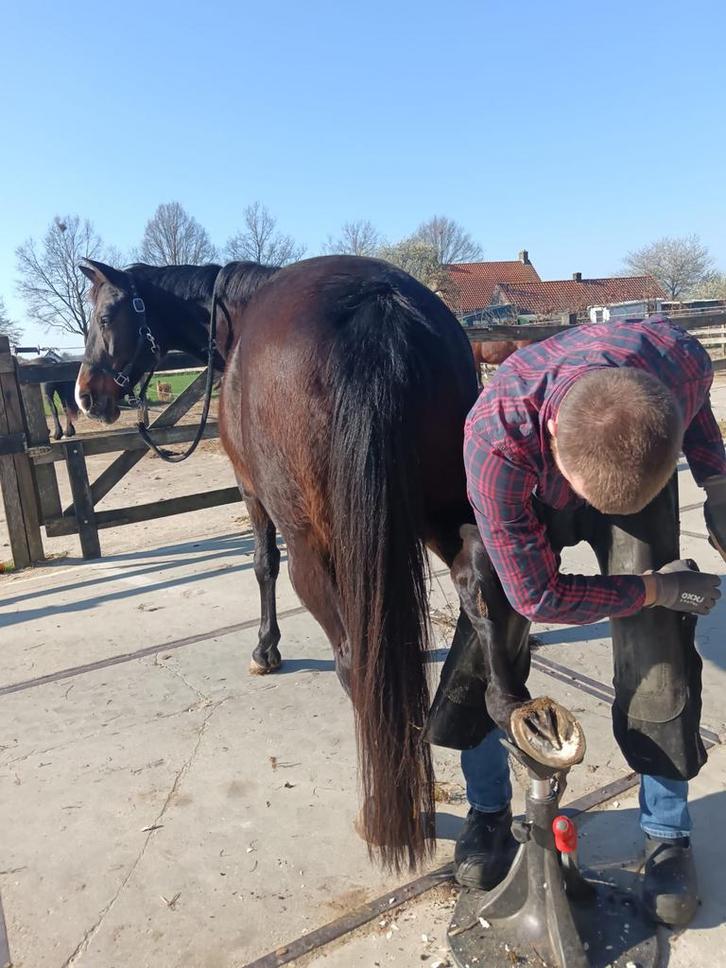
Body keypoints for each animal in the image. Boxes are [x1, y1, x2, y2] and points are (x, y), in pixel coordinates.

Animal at [75, 255, 581, 870]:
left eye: (105, 315)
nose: (85, 394)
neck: (235, 314)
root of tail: (377, 307)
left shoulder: (251, 492)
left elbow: (262, 564)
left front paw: (265, 651)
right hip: (445, 503)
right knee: (478, 578)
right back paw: (504, 725)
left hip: (314, 545)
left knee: (354, 662)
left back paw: (382, 813)